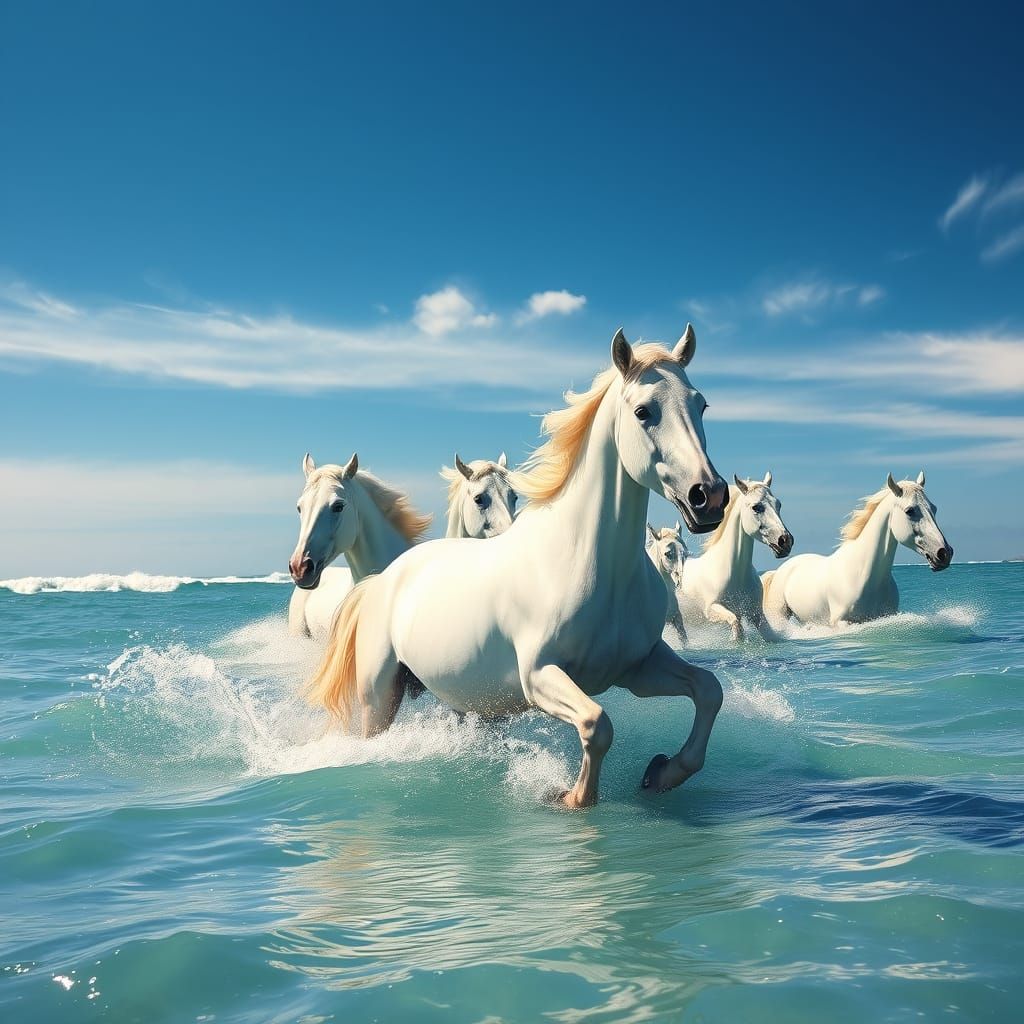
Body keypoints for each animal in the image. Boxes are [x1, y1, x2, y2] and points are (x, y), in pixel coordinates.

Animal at [306, 324, 730, 809]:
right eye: (644, 411)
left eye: (701, 404)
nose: (709, 497)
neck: (591, 564)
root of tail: (382, 580)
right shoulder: (540, 677)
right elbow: (597, 724)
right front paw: (568, 796)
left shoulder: (641, 667)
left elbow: (709, 690)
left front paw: (663, 772)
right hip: (378, 696)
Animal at [678, 472, 793, 642]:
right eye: (756, 507)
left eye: (778, 505)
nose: (785, 541)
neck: (735, 573)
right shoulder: (712, 609)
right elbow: (736, 625)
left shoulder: (757, 615)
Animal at [761, 472, 952, 628]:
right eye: (910, 511)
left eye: (934, 508)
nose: (944, 553)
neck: (863, 575)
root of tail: (779, 571)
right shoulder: (842, 622)